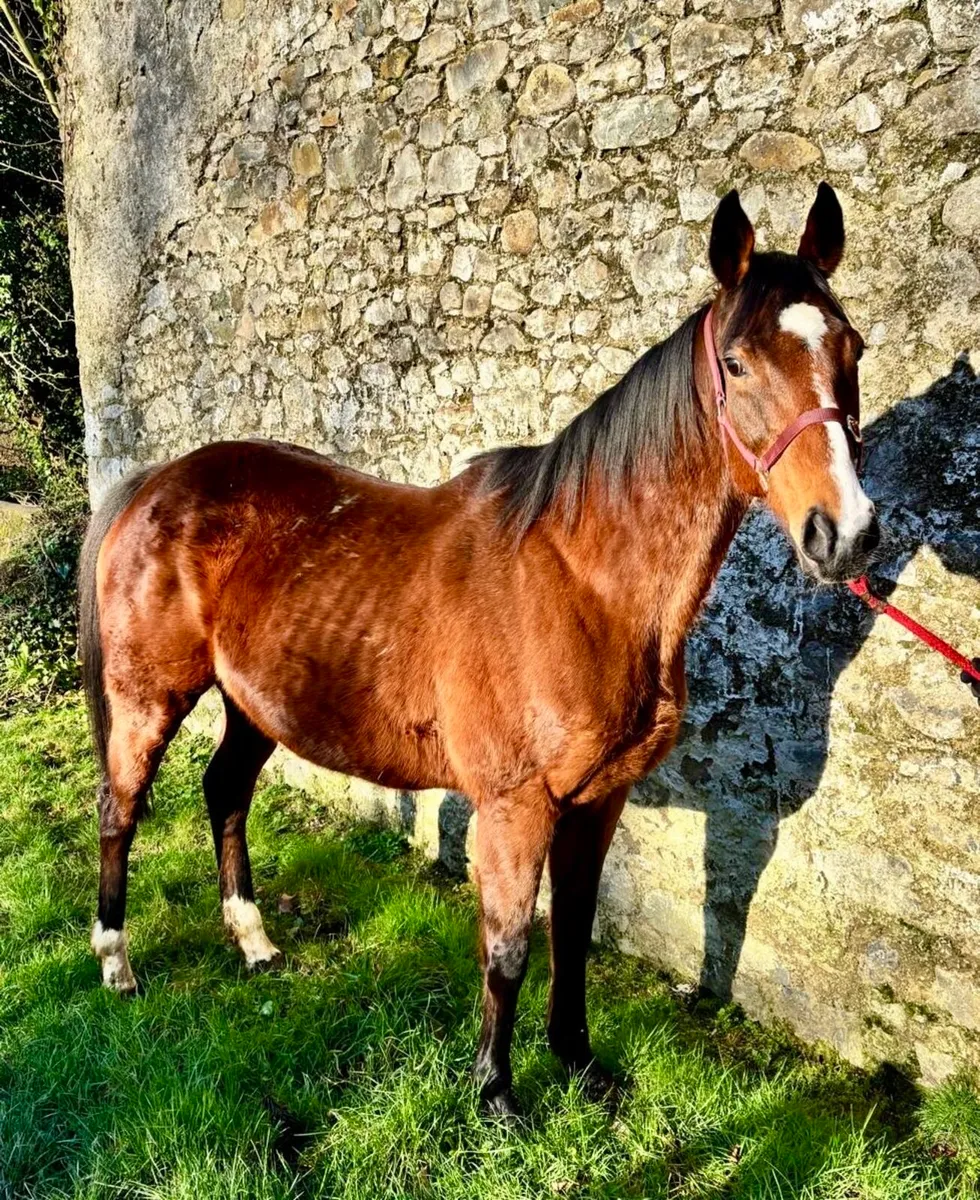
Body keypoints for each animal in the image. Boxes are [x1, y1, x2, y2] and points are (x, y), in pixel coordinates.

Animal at [78, 183, 879, 1118]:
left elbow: (573, 933)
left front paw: (579, 1063)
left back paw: (255, 944)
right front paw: (496, 1093)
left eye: (852, 348)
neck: (584, 581)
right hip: (148, 699)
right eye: (740, 364)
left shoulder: (598, 800)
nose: (846, 534)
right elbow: (508, 949)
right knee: (120, 810)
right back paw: (117, 965)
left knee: (225, 792)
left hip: (253, 704)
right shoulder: (514, 806)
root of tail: (156, 481)